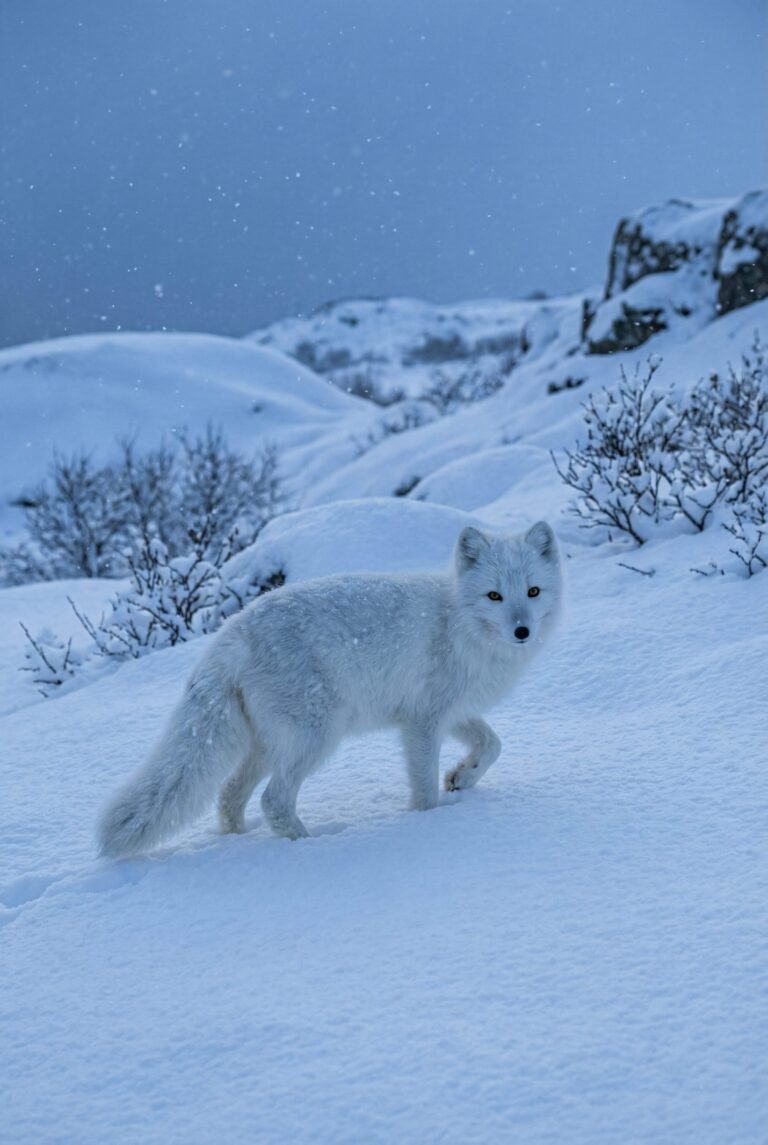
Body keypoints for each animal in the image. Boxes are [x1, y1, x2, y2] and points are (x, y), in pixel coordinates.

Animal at [98, 521, 562, 857]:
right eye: (494, 596)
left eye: (533, 591)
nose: (522, 631)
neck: (459, 624)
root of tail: (231, 632)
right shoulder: (422, 722)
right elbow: (425, 788)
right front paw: (427, 822)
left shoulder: (453, 710)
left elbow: (493, 744)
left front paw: (462, 778)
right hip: (316, 736)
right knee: (274, 800)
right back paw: (311, 844)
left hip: (265, 745)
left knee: (230, 796)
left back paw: (240, 841)